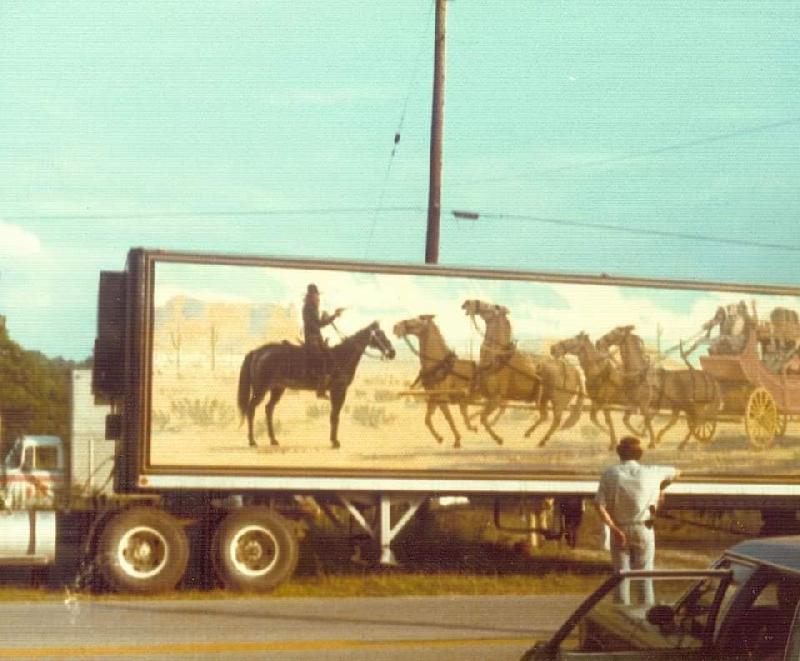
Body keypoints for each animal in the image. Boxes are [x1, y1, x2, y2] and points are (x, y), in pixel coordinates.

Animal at [239, 320, 398, 448]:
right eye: (379, 335)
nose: (392, 353)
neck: (341, 356)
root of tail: (257, 352)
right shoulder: (338, 391)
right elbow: (335, 416)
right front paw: (335, 442)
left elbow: (334, 415)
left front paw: (333, 440)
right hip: (261, 389)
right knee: (251, 409)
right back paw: (252, 441)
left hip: (277, 389)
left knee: (268, 409)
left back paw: (273, 440)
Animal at [392, 316, 476, 448]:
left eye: (415, 320)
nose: (395, 327)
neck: (438, 366)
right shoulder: (434, 398)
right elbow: (427, 419)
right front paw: (440, 438)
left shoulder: (442, 398)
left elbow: (449, 418)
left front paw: (457, 440)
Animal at [462, 298, 580, 444]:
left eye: (493, 306)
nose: (467, 302)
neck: (497, 359)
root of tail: (574, 370)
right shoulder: (481, 394)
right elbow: (466, 406)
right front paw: (471, 426)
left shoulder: (496, 399)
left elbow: (483, 418)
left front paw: (498, 439)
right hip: (544, 400)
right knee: (544, 416)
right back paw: (528, 433)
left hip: (558, 402)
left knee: (556, 420)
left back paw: (542, 441)